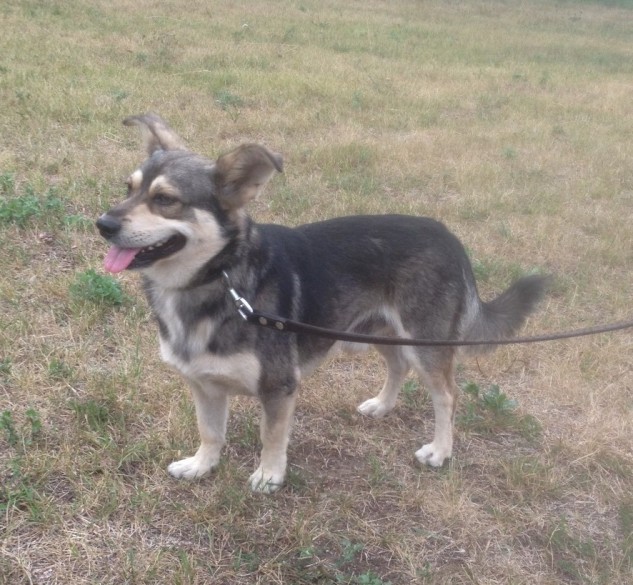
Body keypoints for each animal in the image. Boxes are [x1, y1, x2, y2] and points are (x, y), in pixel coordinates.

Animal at [96, 113, 548, 493]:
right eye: (128, 189)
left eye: (165, 200)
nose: (103, 224)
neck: (219, 278)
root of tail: (451, 238)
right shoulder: (203, 384)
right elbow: (210, 431)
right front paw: (201, 465)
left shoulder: (279, 386)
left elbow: (271, 436)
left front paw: (269, 476)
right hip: (380, 332)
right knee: (398, 366)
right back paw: (381, 405)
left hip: (426, 343)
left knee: (447, 397)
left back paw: (440, 451)